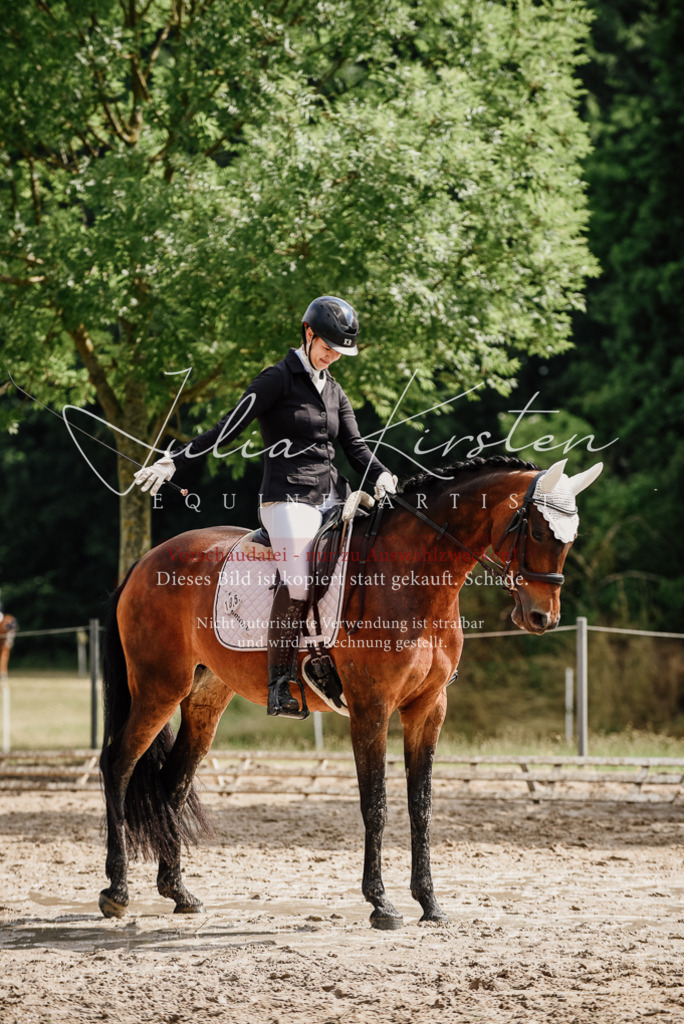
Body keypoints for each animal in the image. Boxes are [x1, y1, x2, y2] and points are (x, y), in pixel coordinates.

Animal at [99, 455, 602, 928]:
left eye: (571, 538)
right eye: (536, 530)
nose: (542, 617)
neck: (413, 578)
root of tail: (146, 560)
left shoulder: (428, 709)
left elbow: (421, 806)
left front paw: (430, 903)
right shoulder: (371, 708)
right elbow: (375, 804)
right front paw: (381, 904)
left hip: (205, 696)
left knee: (171, 783)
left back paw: (178, 892)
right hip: (158, 688)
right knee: (118, 765)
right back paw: (116, 891)